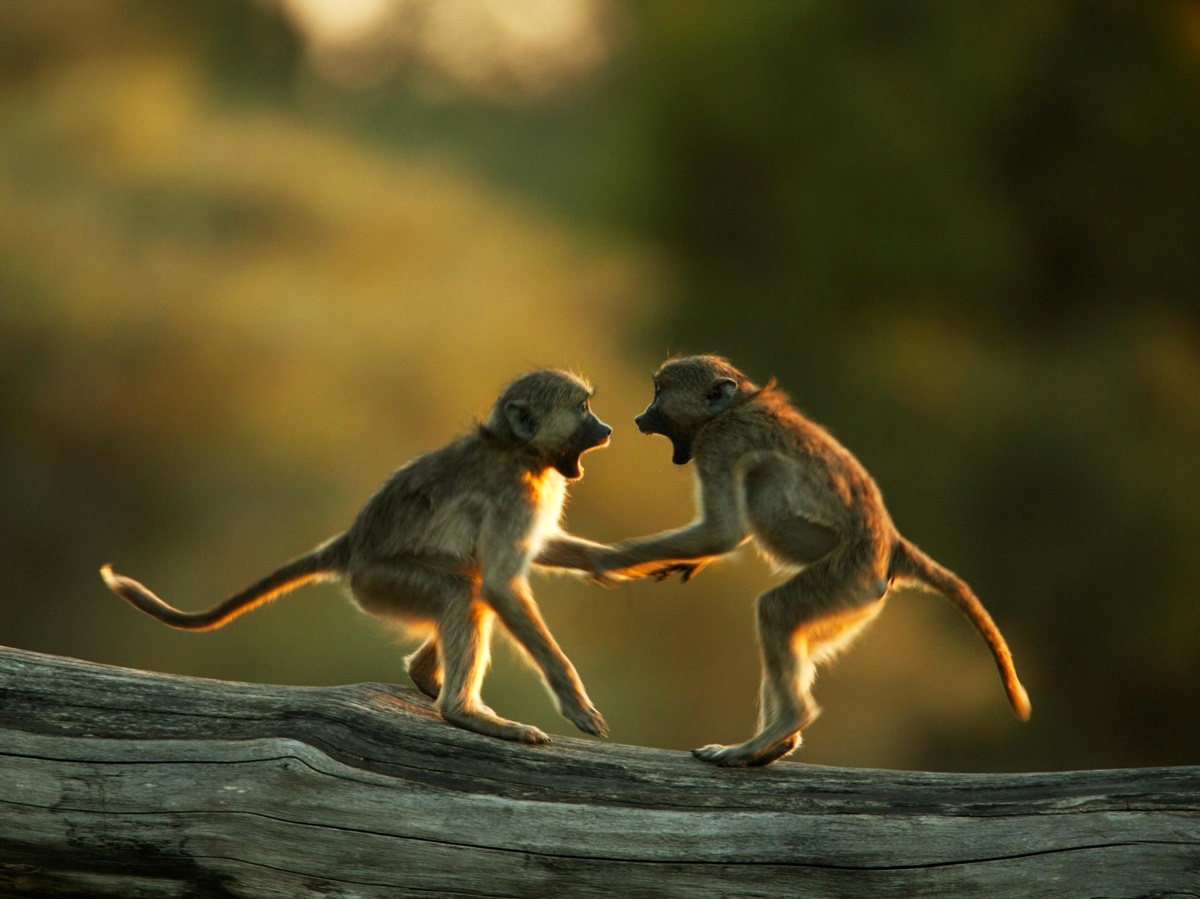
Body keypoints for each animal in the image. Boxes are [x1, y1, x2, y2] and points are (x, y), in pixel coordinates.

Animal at [101, 369, 618, 746]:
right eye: (583, 409)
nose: (607, 429)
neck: (517, 449)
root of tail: (352, 543)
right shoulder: (515, 495)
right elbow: (499, 582)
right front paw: (575, 702)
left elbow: (526, 560)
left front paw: (621, 559)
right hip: (381, 582)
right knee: (464, 588)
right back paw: (462, 711)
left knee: (467, 581)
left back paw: (428, 677)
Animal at [592, 355, 1031, 767]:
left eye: (659, 393)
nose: (640, 417)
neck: (732, 408)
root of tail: (891, 544)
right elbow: (731, 530)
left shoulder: (720, 444)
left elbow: (723, 530)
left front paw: (611, 558)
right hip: (852, 605)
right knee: (794, 635)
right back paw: (774, 745)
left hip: (847, 578)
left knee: (775, 610)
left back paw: (777, 729)